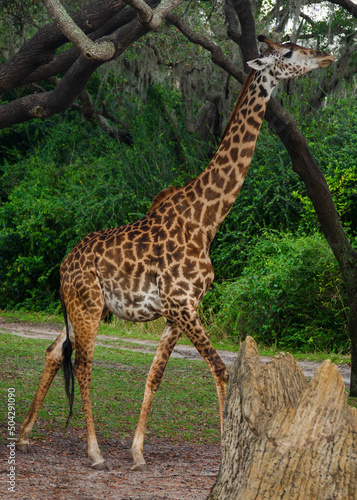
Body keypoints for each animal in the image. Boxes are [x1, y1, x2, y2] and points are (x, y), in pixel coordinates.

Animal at [15, 37, 332, 470]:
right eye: (287, 53)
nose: (326, 57)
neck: (206, 220)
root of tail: (63, 266)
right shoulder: (183, 304)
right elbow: (221, 371)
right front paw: (223, 454)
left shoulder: (177, 311)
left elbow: (155, 375)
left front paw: (137, 453)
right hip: (89, 307)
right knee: (82, 363)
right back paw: (94, 452)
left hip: (77, 308)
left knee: (52, 352)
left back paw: (25, 435)